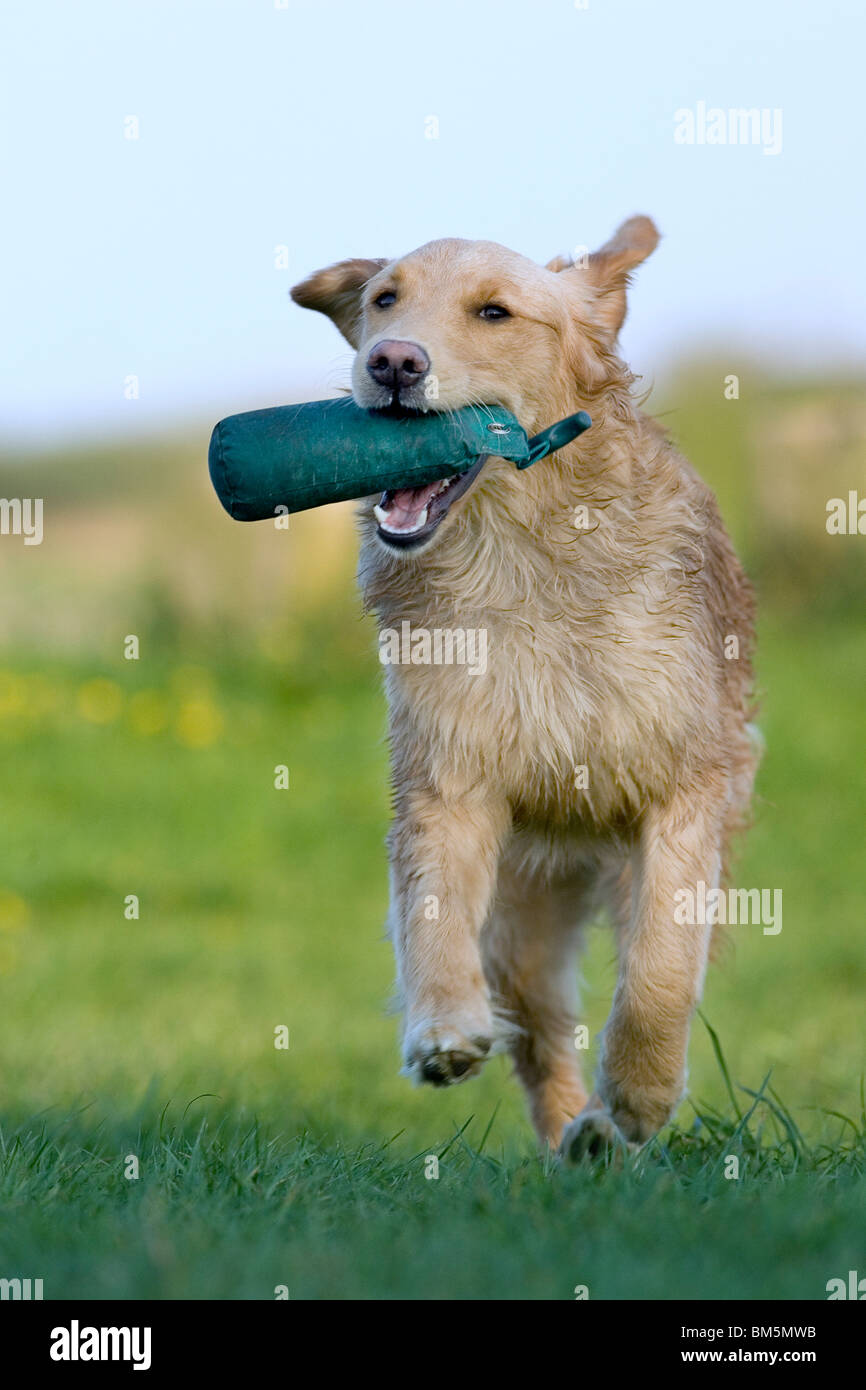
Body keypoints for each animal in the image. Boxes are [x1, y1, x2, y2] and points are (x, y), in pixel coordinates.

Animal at [293, 214, 756, 1150]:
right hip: (522, 914)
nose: (393, 362)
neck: (523, 556)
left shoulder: (686, 785)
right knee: (540, 1031)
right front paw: (441, 1026)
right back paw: (575, 1133)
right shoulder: (447, 774)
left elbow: (659, 966)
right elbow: (432, 904)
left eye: (495, 312)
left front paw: (643, 1093)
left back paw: (605, 1132)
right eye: (384, 298)